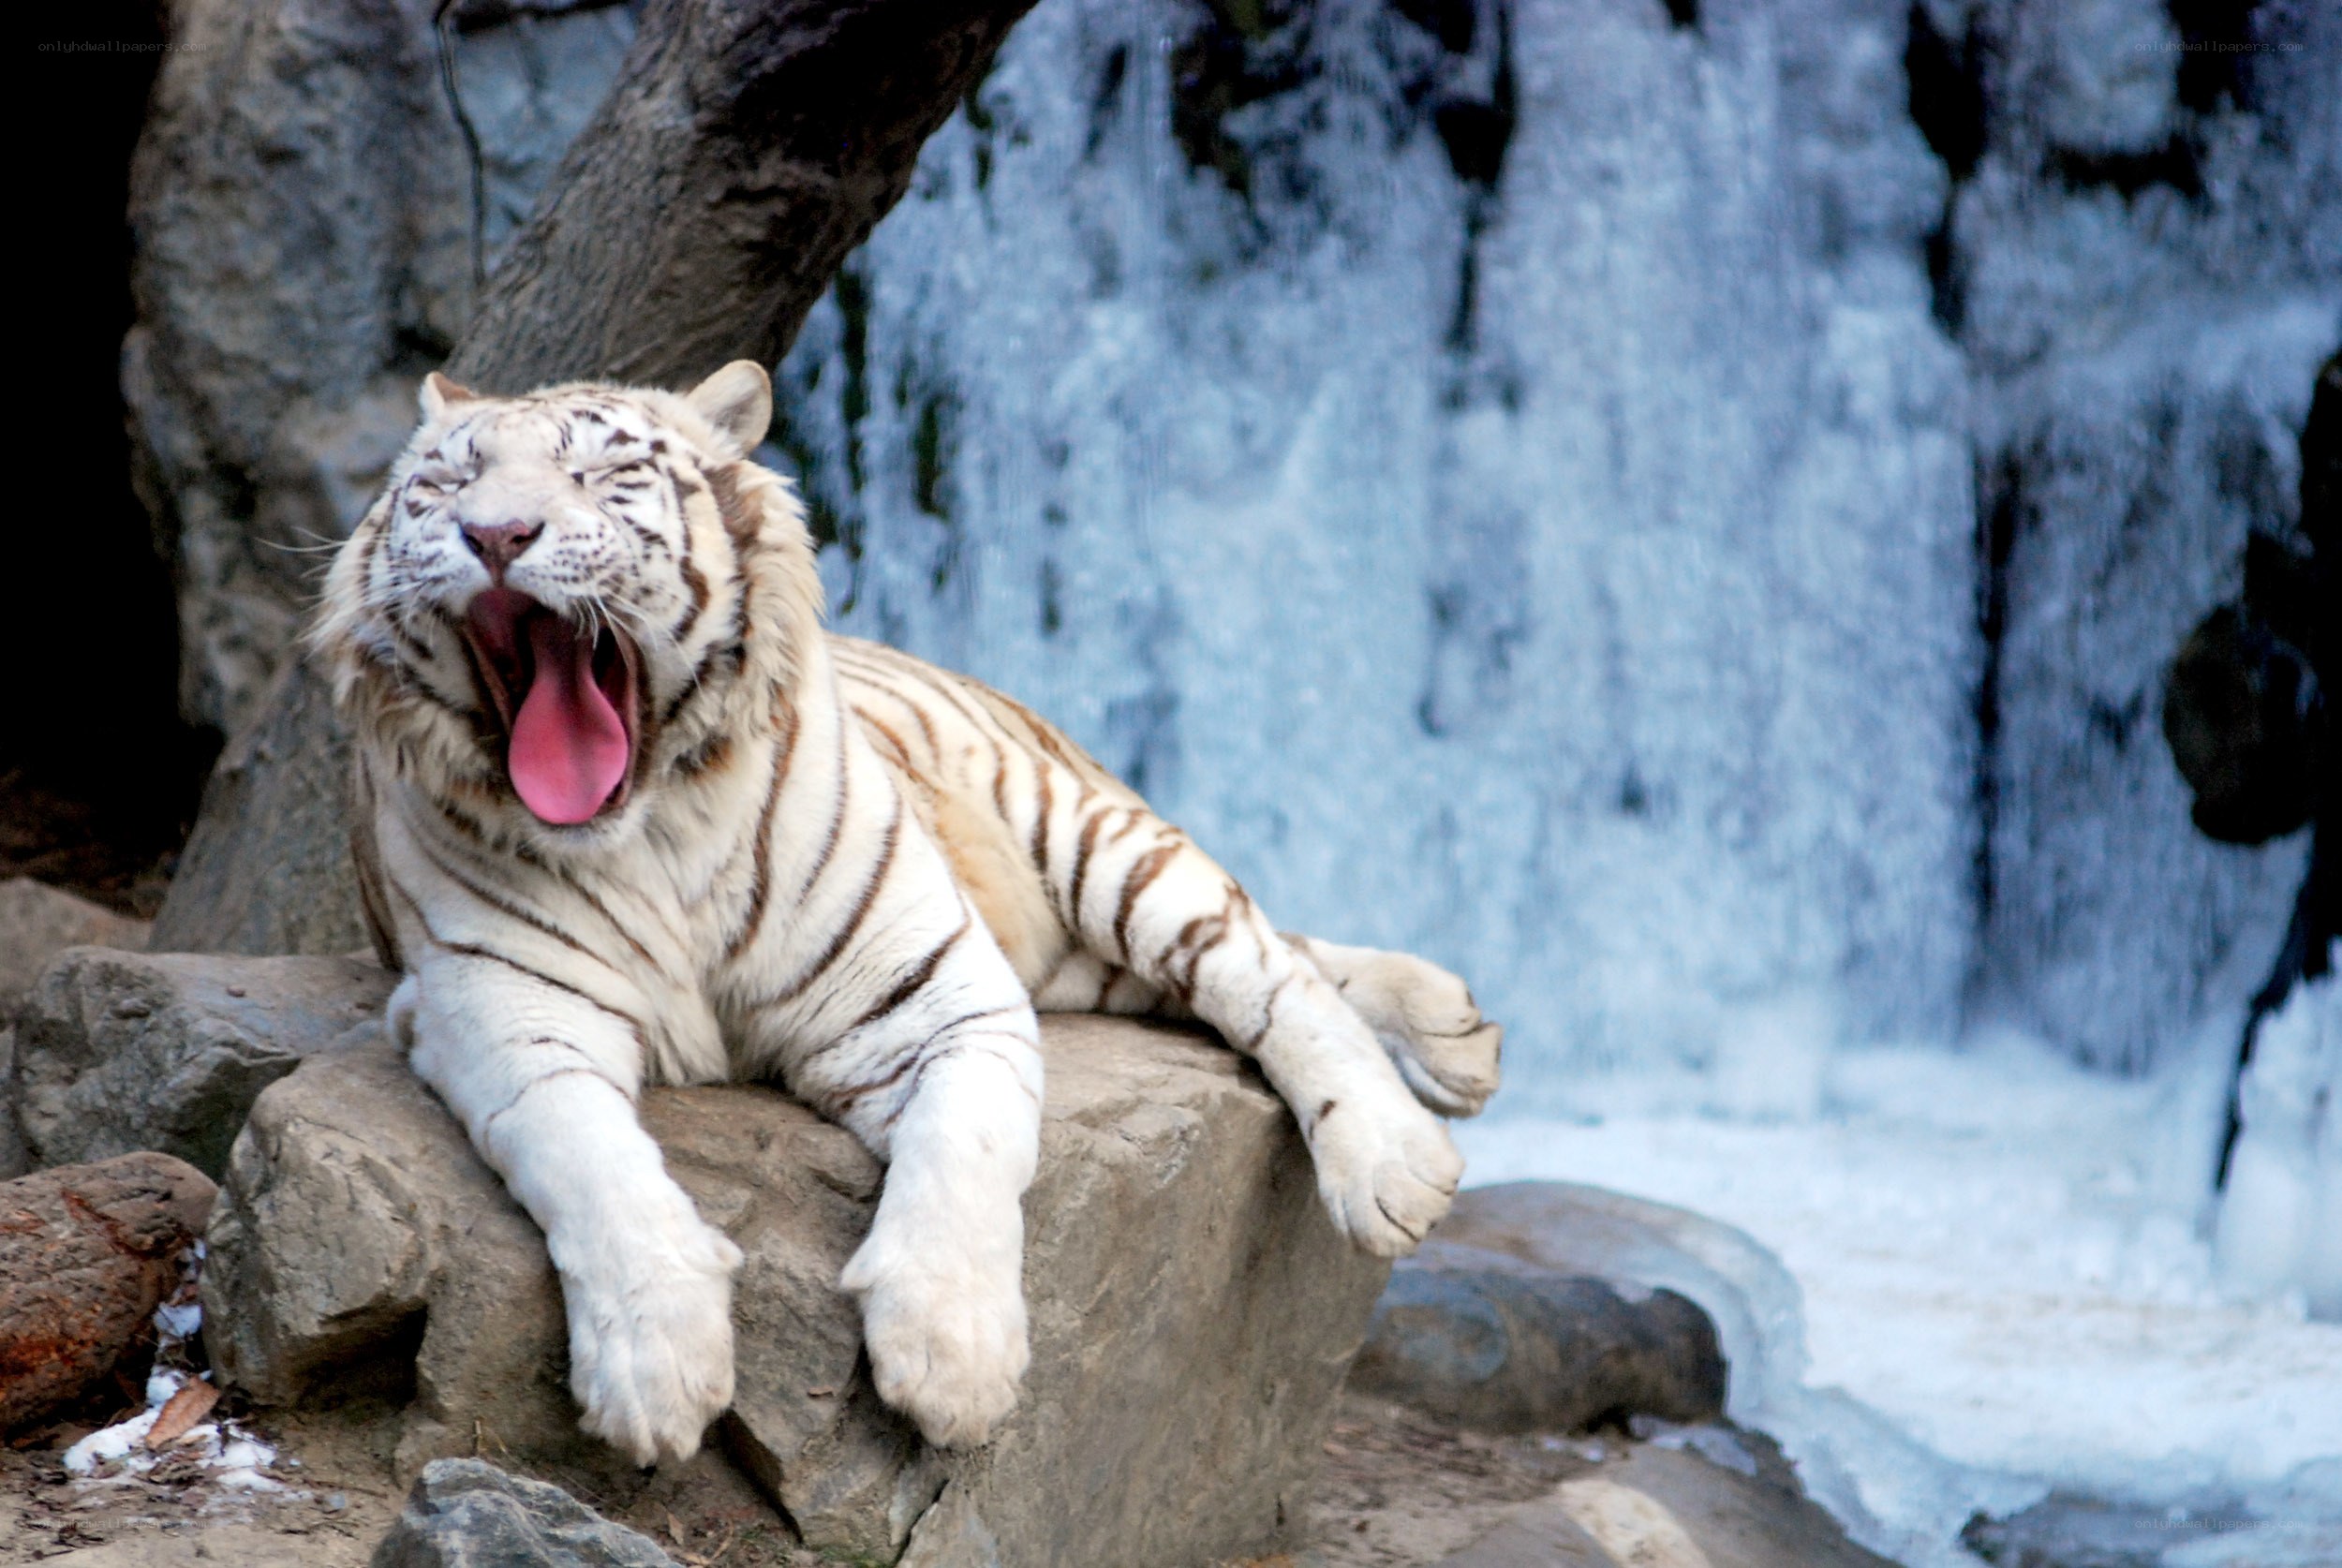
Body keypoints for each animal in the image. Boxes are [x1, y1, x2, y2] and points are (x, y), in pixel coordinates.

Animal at [311, 360, 1502, 1466]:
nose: (495, 533)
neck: (649, 830)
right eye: (445, 483)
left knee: (1263, 963)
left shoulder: (936, 991)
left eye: (599, 474)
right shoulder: (503, 1014)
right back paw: (1457, 1028)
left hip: (1089, 841)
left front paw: (952, 1361)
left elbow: (966, 1149)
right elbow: (591, 1163)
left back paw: (1400, 1152)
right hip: (1079, 959)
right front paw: (656, 1370)